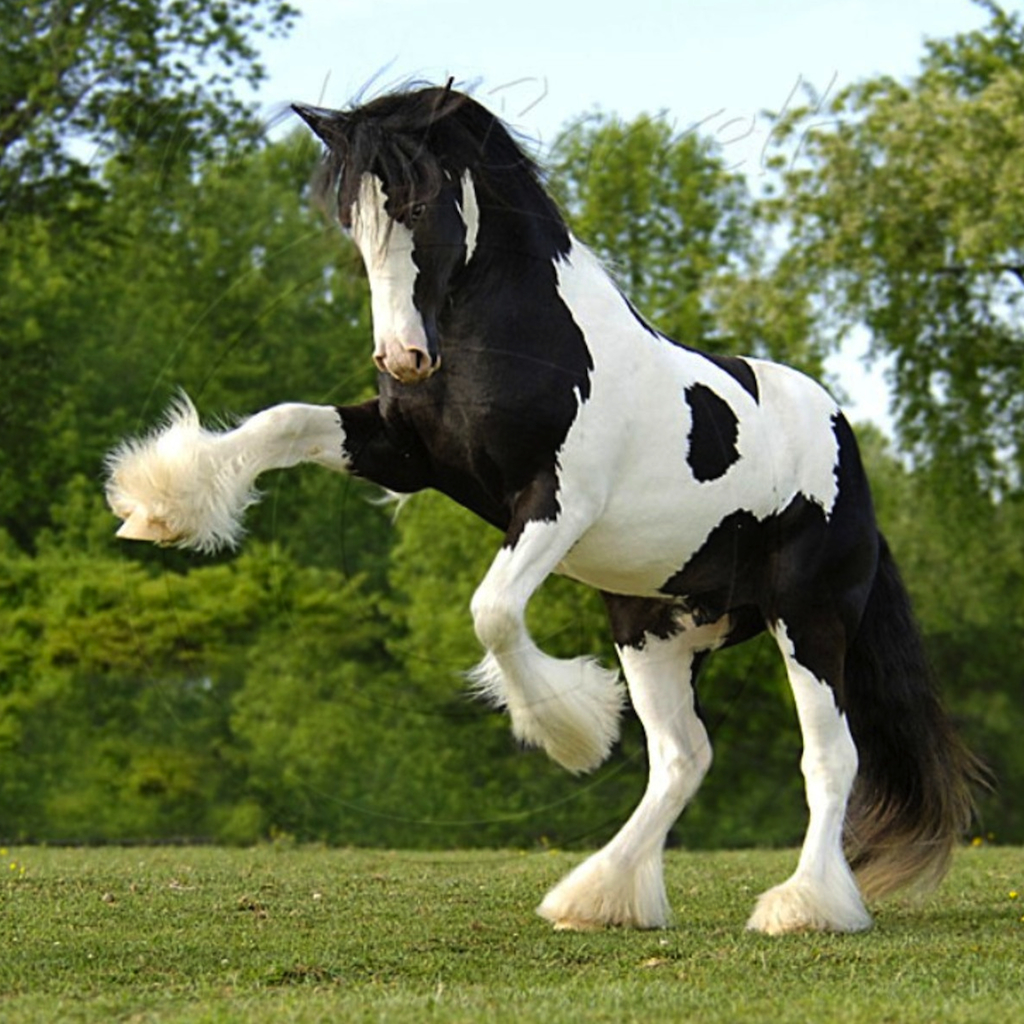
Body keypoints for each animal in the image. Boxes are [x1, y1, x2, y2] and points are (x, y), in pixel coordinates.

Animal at [105, 83, 981, 935]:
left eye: (421, 203)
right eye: (350, 213)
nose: (401, 357)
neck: (516, 337)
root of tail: (847, 448)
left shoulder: (557, 502)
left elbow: (492, 610)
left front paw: (568, 732)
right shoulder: (403, 453)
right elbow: (282, 422)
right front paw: (157, 505)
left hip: (809, 619)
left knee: (831, 757)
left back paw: (802, 908)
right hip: (657, 626)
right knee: (683, 758)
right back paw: (598, 898)